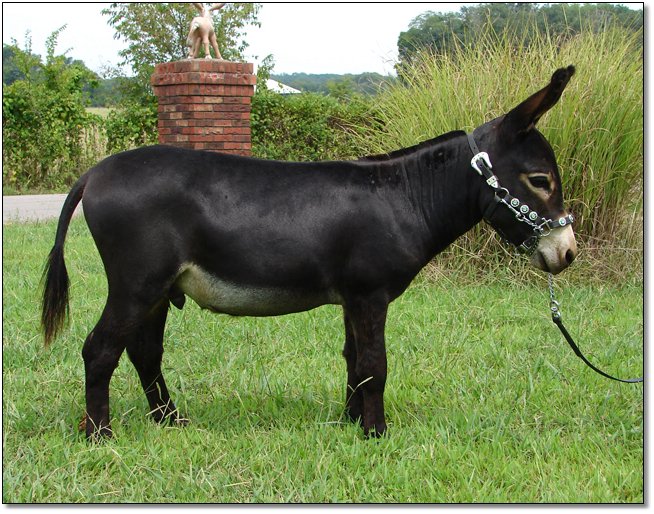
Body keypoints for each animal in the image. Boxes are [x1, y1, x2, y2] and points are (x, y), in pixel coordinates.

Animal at [41, 66, 577, 439]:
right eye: (540, 181)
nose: (568, 253)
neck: (405, 196)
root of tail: (94, 172)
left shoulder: (354, 298)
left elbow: (353, 360)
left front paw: (351, 425)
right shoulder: (370, 295)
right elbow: (374, 365)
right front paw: (378, 435)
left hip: (157, 289)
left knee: (144, 351)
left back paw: (170, 422)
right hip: (137, 282)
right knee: (100, 349)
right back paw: (101, 436)